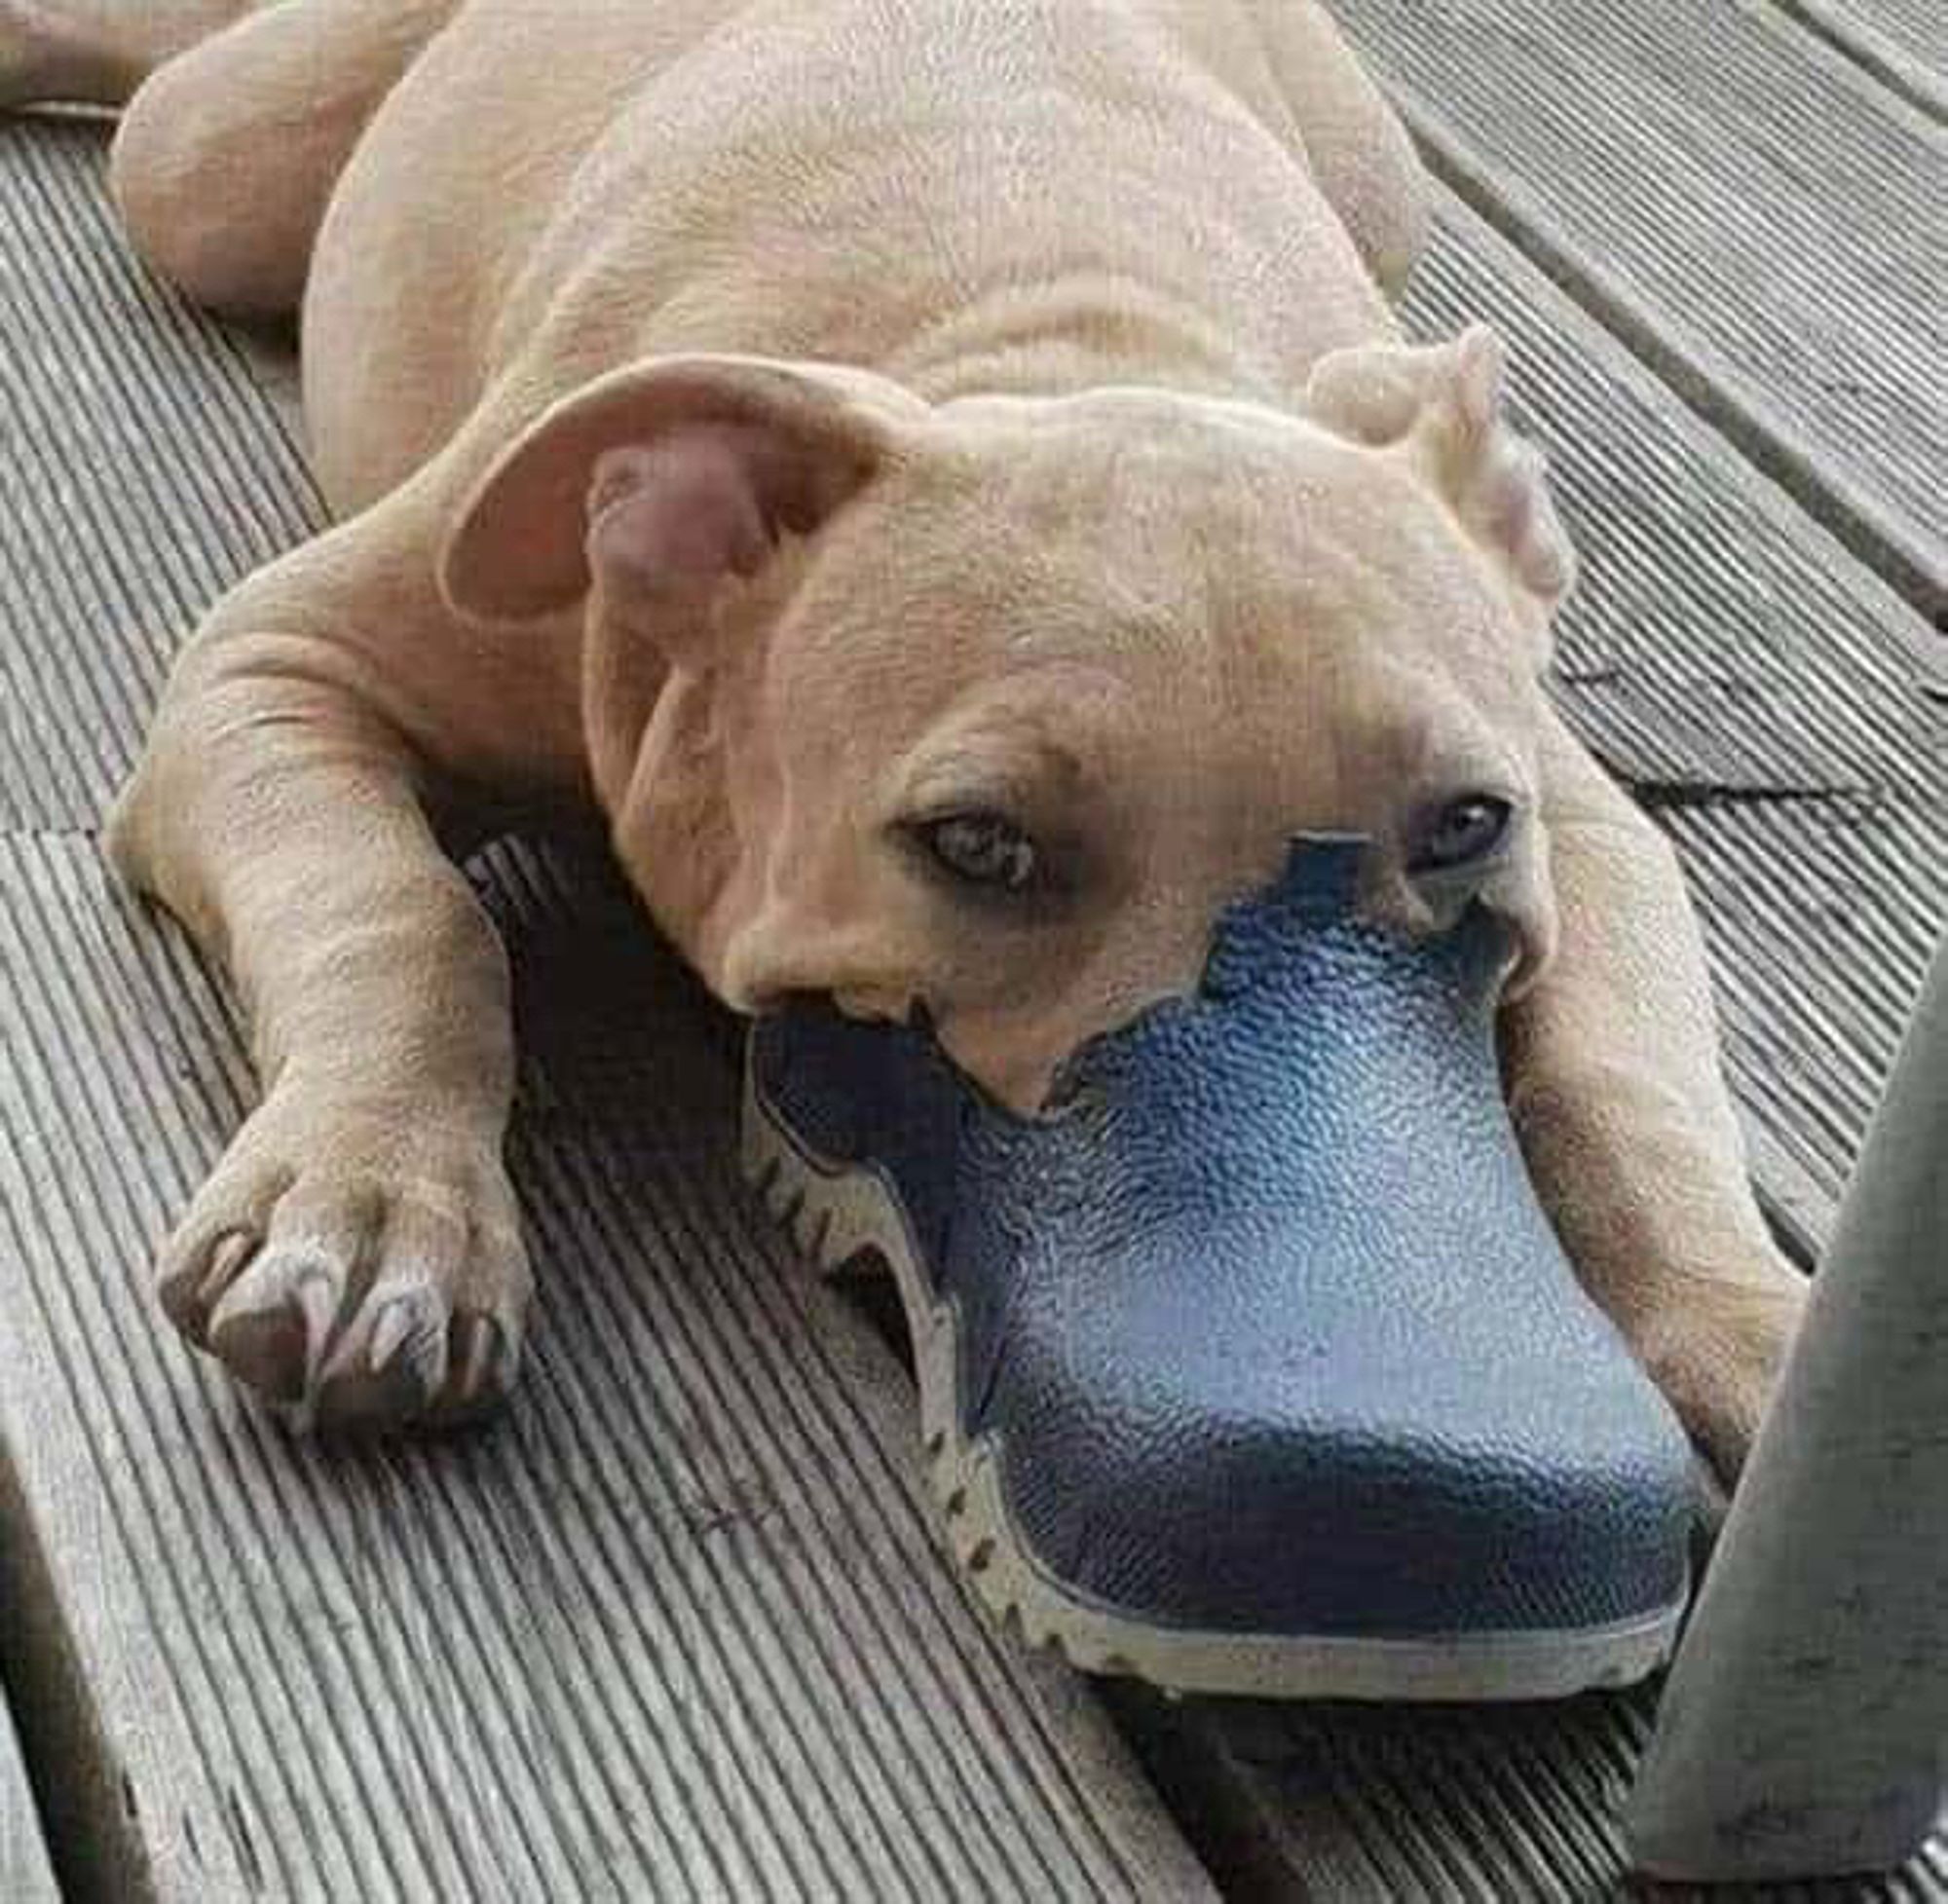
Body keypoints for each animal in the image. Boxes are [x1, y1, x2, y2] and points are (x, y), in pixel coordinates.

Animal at [0, 0, 1800, 1464]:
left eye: (1465, 828)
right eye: (977, 847)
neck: (1052, 339)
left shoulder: (1581, 817)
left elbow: (1627, 1079)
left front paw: (1751, 1330)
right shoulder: (274, 669)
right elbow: (403, 911)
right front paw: (374, 1210)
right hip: (214, 164)